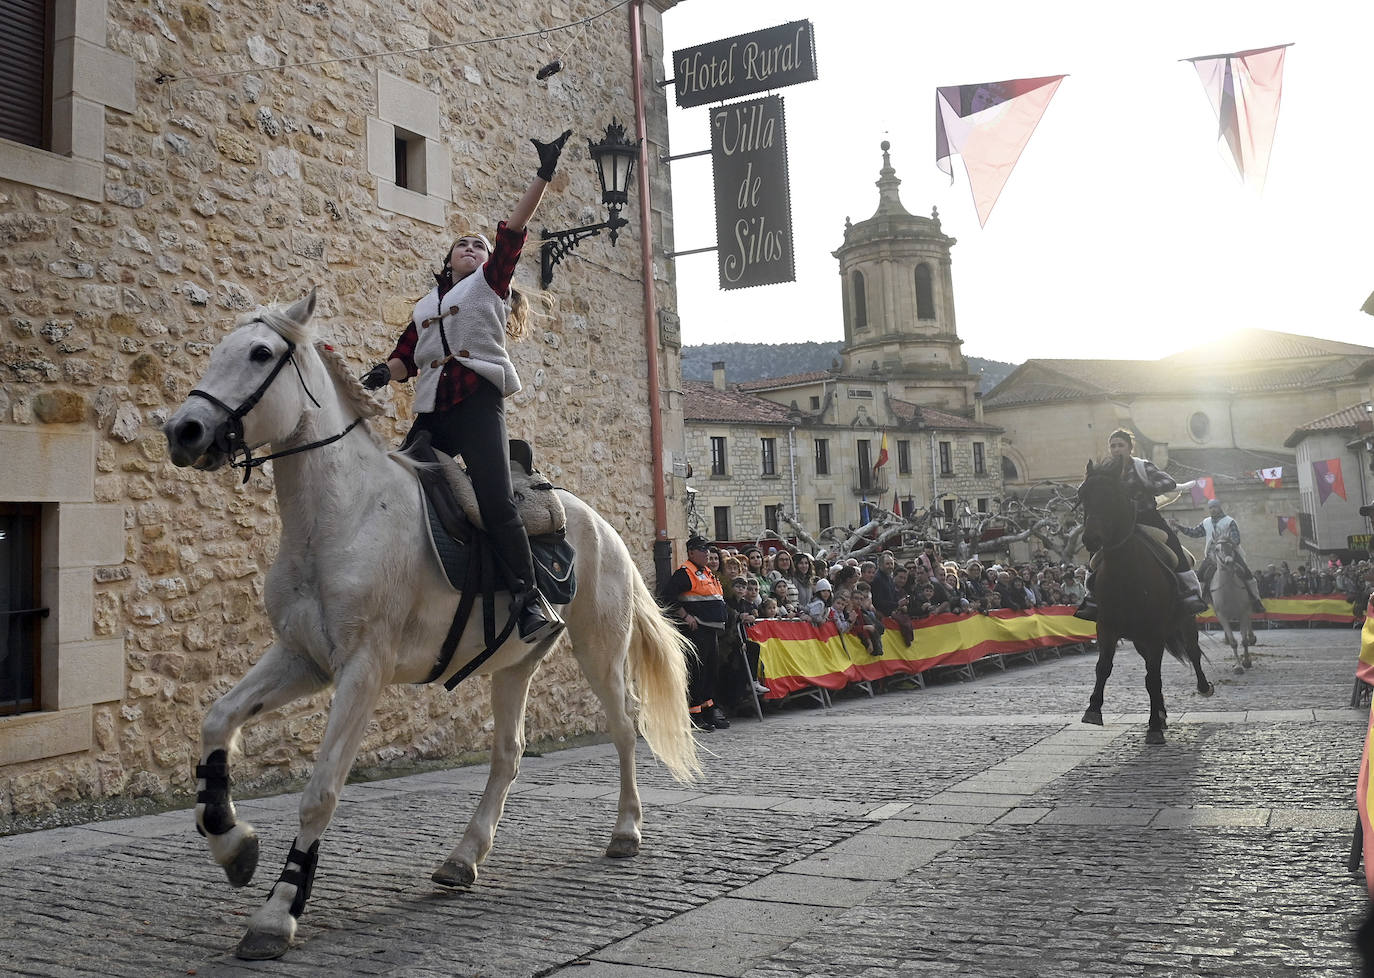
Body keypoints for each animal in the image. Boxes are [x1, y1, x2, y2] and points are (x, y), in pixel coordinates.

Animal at [1077, 456, 1209, 741]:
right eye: (1083, 496)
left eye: (1111, 495)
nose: (1091, 538)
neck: (1126, 572)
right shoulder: (1107, 627)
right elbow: (1104, 667)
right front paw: (1093, 709)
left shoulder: (1155, 631)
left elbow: (1153, 677)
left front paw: (1154, 727)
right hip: (1139, 639)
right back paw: (1159, 712)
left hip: (1184, 623)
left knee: (1192, 652)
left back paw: (1202, 688)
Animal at [1209, 538, 1253, 675]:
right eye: (1217, 549)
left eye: (1231, 547)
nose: (1229, 561)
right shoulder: (1222, 616)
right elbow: (1233, 642)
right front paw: (1238, 666)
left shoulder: (1243, 613)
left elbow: (1244, 641)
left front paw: (1246, 662)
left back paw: (1252, 637)